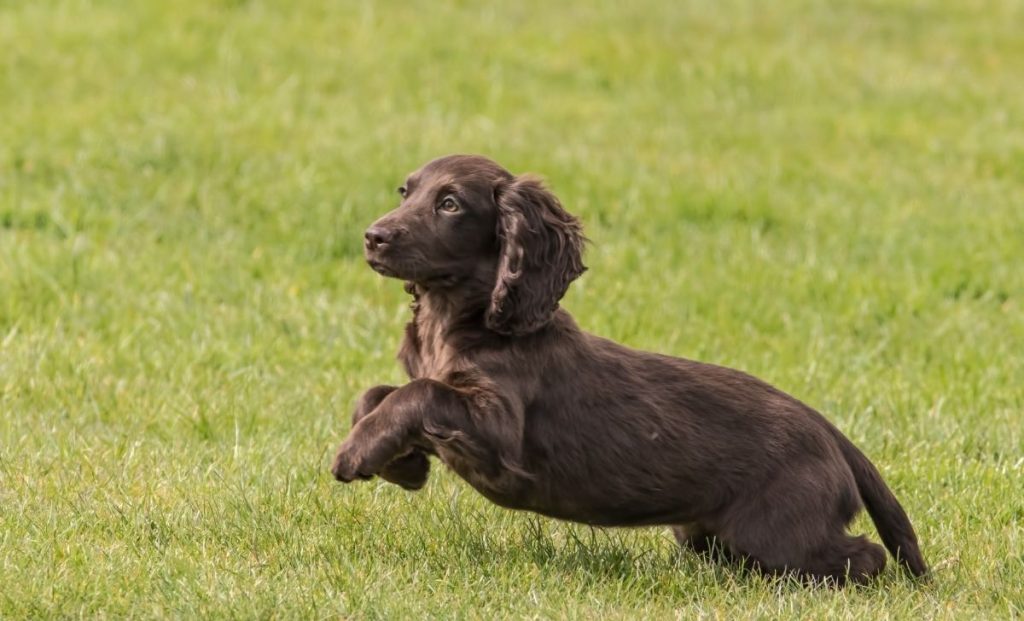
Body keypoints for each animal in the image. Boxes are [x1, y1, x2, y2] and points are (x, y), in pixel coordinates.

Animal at [329, 154, 929, 582]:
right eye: (406, 192)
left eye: (450, 204)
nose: (372, 237)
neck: (462, 318)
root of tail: (831, 432)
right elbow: (376, 392)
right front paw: (402, 464)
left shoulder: (500, 429)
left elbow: (418, 393)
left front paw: (356, 454)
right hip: (709, 533)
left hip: (779, 531)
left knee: (864, 558)